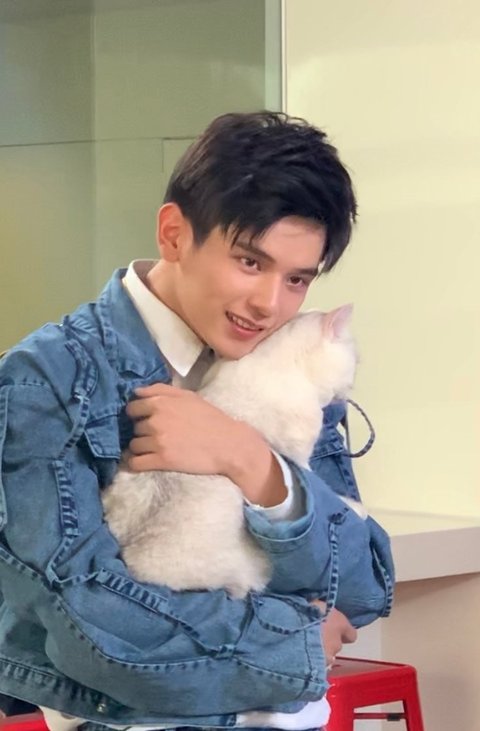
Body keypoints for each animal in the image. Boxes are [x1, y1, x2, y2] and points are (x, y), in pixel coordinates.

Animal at [101, 305, 358, 598]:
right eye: (355, 359)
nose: (352, 385)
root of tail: (135, 558)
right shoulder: (300, 453)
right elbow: (312, 478)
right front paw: (356, 507)